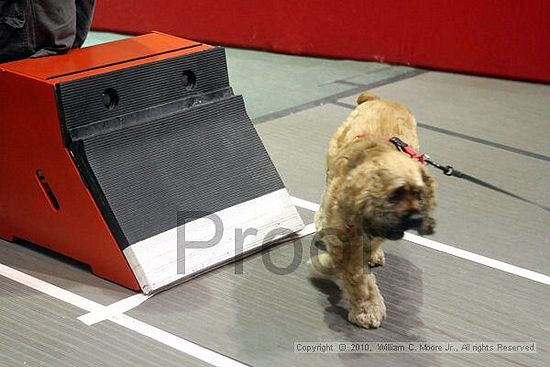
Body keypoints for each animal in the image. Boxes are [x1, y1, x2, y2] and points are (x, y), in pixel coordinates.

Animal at [312, 90, 438, 330]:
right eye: (396, 194)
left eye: (419, 193)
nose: (416, 218)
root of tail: (379, 99)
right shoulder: (342, 239)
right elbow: (357, 277)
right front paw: (366, 308)